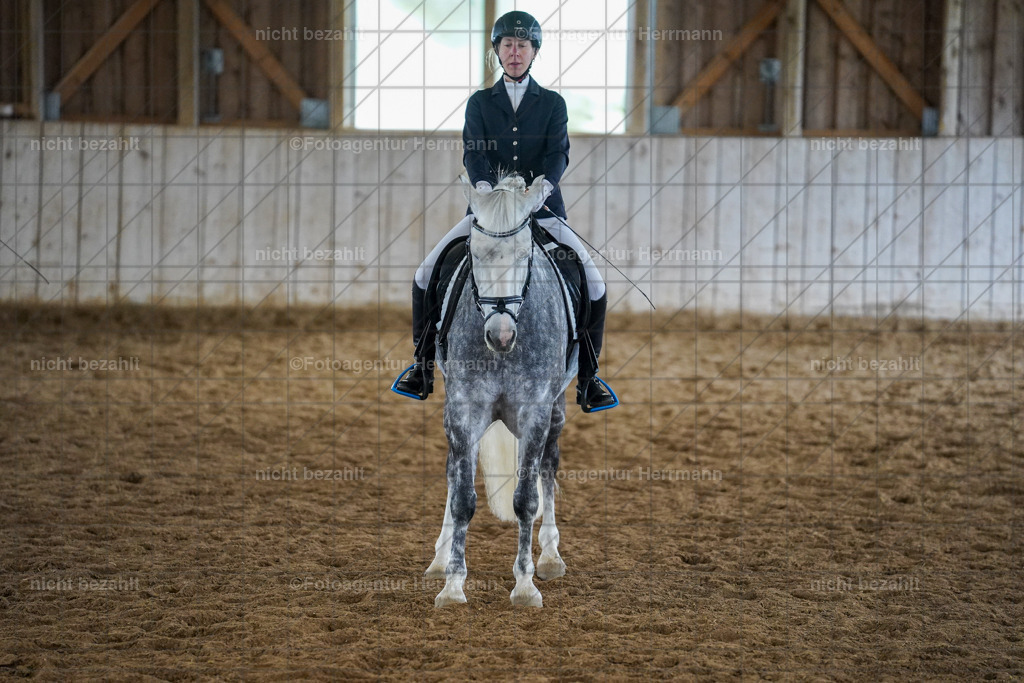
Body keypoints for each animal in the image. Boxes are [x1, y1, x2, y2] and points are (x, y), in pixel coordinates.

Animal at [424, 173, 576, 608]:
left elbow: (526, 500)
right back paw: (439, 558)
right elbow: (462, 499)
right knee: (452, 470)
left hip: (556, 412)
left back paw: (550, 557)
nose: (501, 334)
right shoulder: (463, 411)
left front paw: (525, 586)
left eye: (525, 255)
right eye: (473, 255)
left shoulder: (536, 411)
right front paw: (452, 586)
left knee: (548, 467)